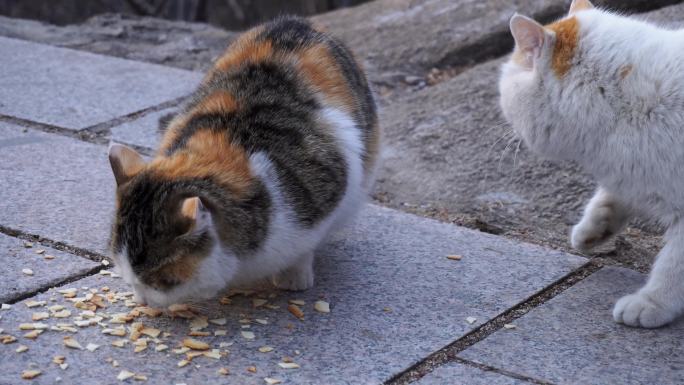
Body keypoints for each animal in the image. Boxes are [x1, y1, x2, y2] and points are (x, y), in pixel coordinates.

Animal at [107, 16, 380, 308]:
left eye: (163, 280)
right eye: (123, 271)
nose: (141, 301)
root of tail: (297, 21)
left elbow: (304, 248)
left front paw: (294, 277)